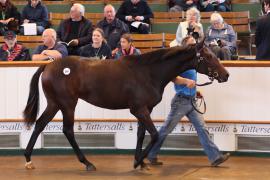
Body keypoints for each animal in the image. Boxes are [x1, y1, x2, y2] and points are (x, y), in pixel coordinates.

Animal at [23, 41, 230, 172]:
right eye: (208, 56)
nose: (226, 75)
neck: (148, 72)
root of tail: (49, 66)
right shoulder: (139, 109)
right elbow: (154, 134)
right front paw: (138, 162)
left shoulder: (145, 109)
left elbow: (141, 134)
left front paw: (141, 163)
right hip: (67, 104)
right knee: (67, 130)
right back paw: (87, 163)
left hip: (54, 103)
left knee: (40, 124)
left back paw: (28, 159)